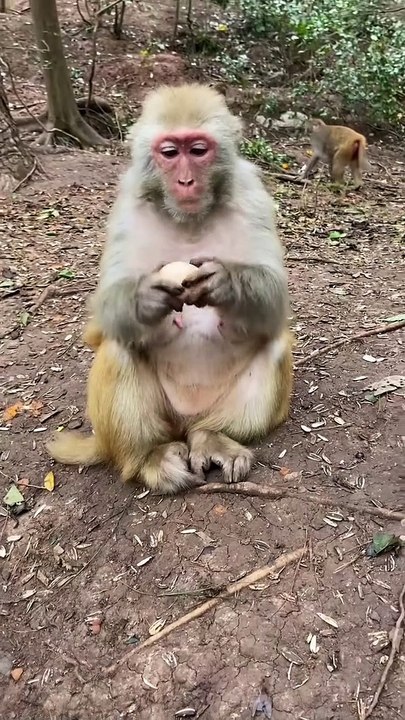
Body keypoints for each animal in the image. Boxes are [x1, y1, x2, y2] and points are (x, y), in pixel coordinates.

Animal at [46, 83, 293, 495]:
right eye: (170, 153)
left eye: (198, 150)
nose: (186, 181)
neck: (189, 219)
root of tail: (187, 418)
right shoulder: (126, 209)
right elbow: (102, 321)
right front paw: (145, 299)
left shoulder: (252, 196)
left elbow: (275, 304)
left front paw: (225, 283)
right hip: (159, 419)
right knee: (118, 348)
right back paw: (148, 458)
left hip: (210, 408)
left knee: (273, 347)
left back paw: (211, 437)